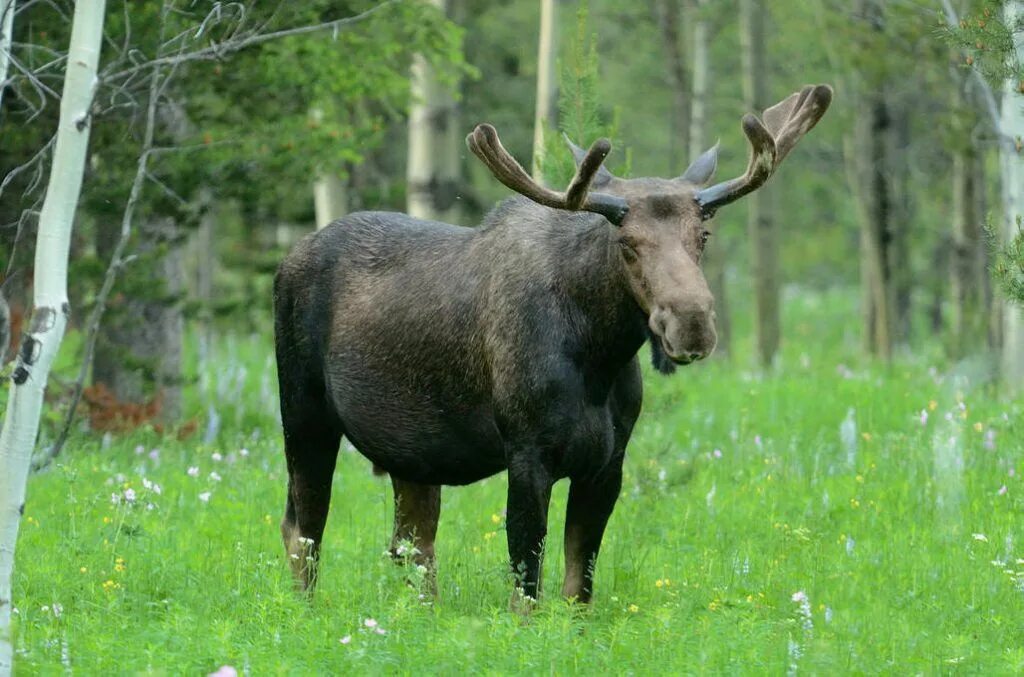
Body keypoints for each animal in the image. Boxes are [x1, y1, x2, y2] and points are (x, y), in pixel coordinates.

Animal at [272, 82, 831, 602]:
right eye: (627, 243)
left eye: (703, 236)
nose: (692, 323)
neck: (598, 357)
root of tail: (287, 259)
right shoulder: (528, 454)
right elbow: (527, 588)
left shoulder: (608, 464)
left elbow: (578, 588)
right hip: (304, 413)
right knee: (303, 528)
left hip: (412, 452)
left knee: (411, 545)